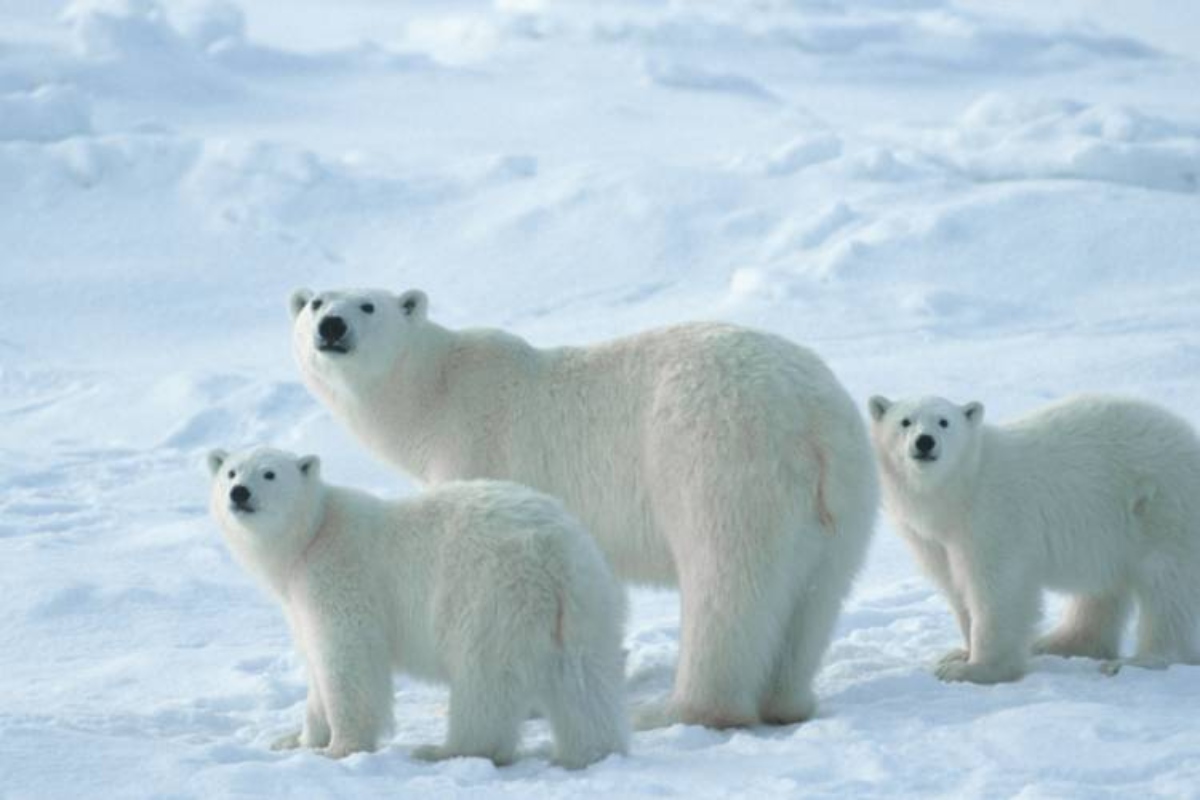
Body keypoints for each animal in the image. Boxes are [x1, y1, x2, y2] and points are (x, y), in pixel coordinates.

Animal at [206, 448, 628, 767]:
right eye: (230, 471)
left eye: (269, 473)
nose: (239, 493)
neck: (311, 535)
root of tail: (552, 551)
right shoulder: (299, 600)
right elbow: (315, 664)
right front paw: (294, 739)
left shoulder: (341, 579)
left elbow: (347, 660)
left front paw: (340, 748)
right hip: (585, 605)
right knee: (584, 681)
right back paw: (590, 752)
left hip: (491, 595)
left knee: (484, 682)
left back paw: (443, 750)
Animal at [285, 287, 878, 734]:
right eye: (315, 301)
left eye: (368, 305)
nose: (332, 326)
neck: (437, 393)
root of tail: (810, 420)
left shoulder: (480, 448)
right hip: (844, 497)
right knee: (815, 596)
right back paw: (786, 701)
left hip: (717, 461)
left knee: (726, 586)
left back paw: (678, 709)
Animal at [868, 393, 1200, 681]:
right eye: (905, 421)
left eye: (944, 421)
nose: (925, 442)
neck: (959, 490)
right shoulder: (932, 539)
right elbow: (955, 585)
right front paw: (958, 653)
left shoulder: (993, 516)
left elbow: (996, 587)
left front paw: (974, 669)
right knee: (1103, 590)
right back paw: (1060, 642)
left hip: (1161, 506)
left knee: (1167, 588)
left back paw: (1137, 661)